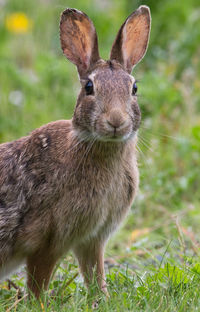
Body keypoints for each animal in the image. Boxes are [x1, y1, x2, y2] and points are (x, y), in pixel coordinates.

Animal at [0, 4, 151, 298]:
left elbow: (94, 273)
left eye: (134, 88)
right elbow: (38, 282)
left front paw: (102, 298)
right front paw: (39, 304)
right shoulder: (48, 240)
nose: (116, 121)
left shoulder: (92, 239)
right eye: (89, 88)